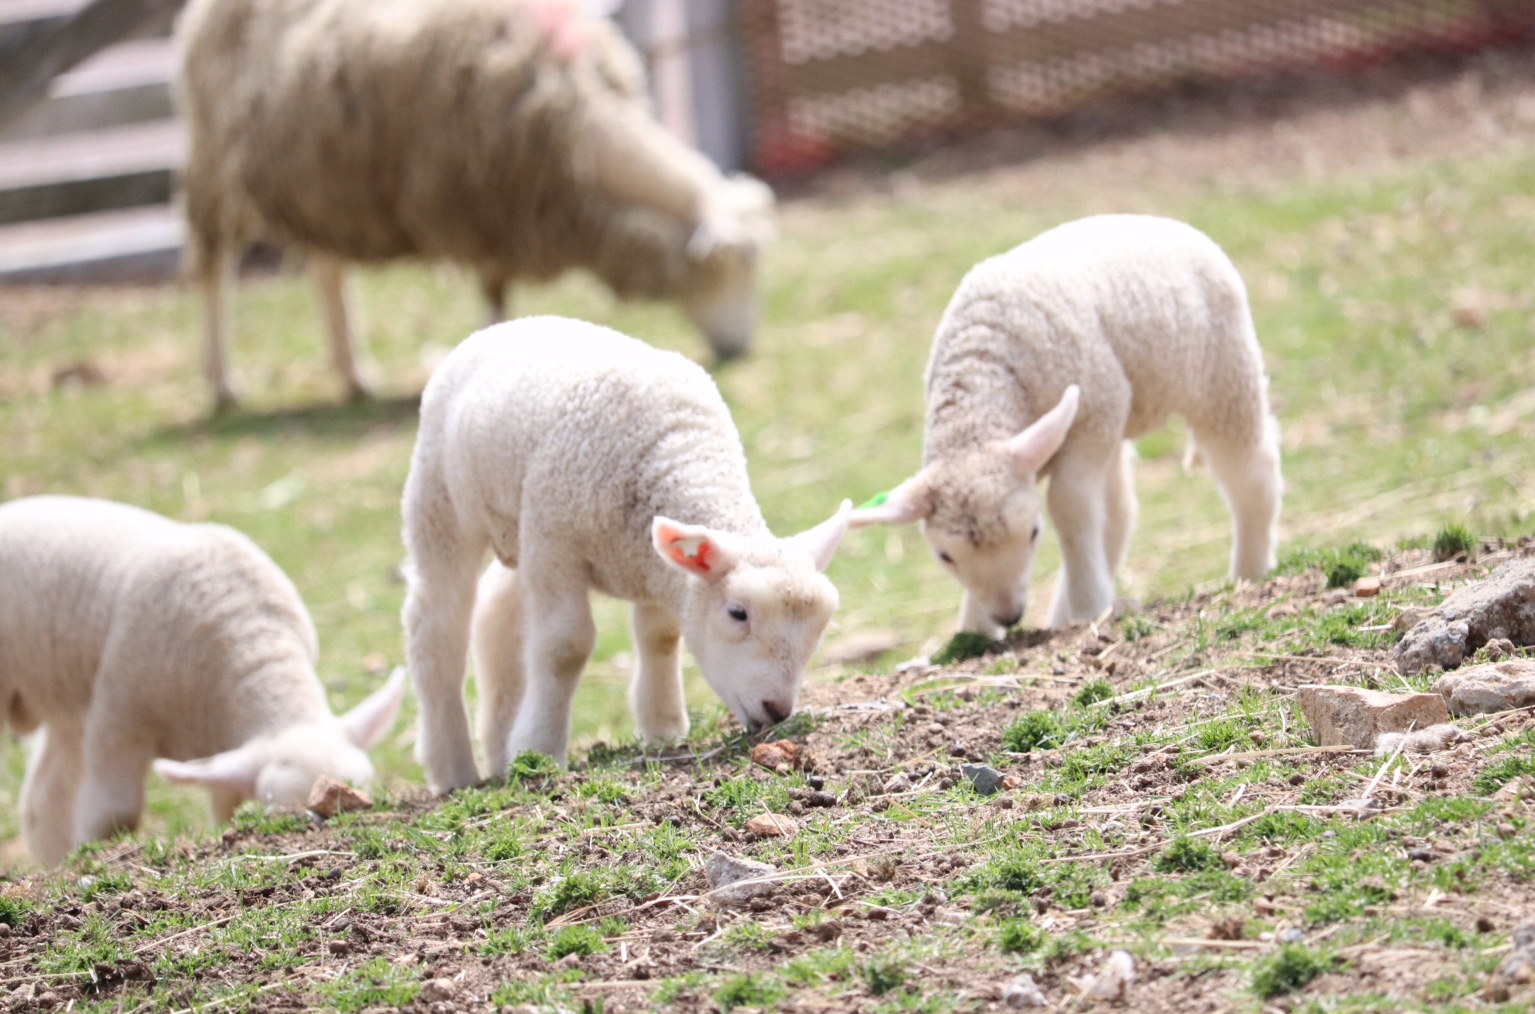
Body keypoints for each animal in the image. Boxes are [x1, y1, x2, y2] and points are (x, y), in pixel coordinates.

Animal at [178, 0, 773, 408]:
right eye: (731, 266)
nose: (742, 348)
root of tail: (197, 15)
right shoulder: (478, 205)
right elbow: (493, 295)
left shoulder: (506, 213)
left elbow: (500, 290)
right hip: (215, 169)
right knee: (212, 272)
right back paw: (223, 383)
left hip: (317, 187)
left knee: (327, 272)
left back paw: (355, 376)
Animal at [402, 316, 853, 791]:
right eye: (737, 613)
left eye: (821, 626)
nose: (777, 710)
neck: (682, 454)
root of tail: (506, 326)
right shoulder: (555, 540)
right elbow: (565, 646)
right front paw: (541, 747)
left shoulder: (649, 564)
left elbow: (661, 637)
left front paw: (663, 729)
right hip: (441, 502)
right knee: (436, 627)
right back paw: (454, 768)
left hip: (518, 527)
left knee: (497, 612)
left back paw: (498, 748)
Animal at [853, 216, 1283, 632]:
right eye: (945, 556)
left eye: (1033, 533)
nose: (1008, 617)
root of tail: (1169, 223)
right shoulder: (1095, 422)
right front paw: (973, 631)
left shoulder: (1092, 417)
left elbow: (1069, 507)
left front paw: (1088, 604)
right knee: (1118, 512)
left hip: (1222, 375)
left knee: (1250, 473)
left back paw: (1250, 570)